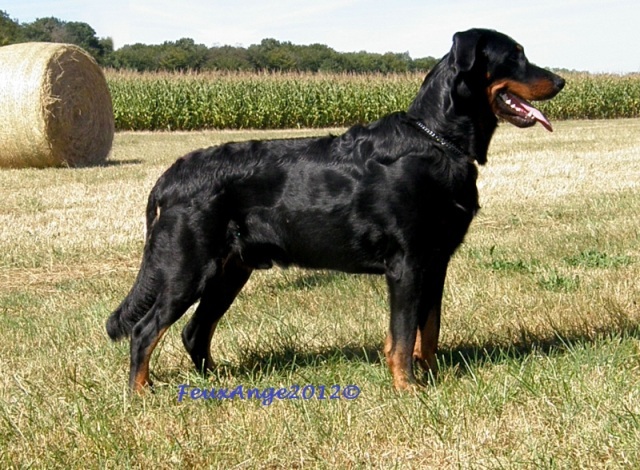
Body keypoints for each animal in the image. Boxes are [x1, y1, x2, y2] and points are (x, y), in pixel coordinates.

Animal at [107, 27, 564, 392]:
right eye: (515, 56)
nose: (561, 80)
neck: (438, 140)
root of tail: (170, 177)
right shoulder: (407, 263)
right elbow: (403, 335)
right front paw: (407, 388)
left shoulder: (436, 262)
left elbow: (428, 330)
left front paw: (431, 377)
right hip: (187, 268)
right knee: (145, 330)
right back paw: (141, 391)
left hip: (230, 271)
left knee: (194, 330)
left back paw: (216, 380)